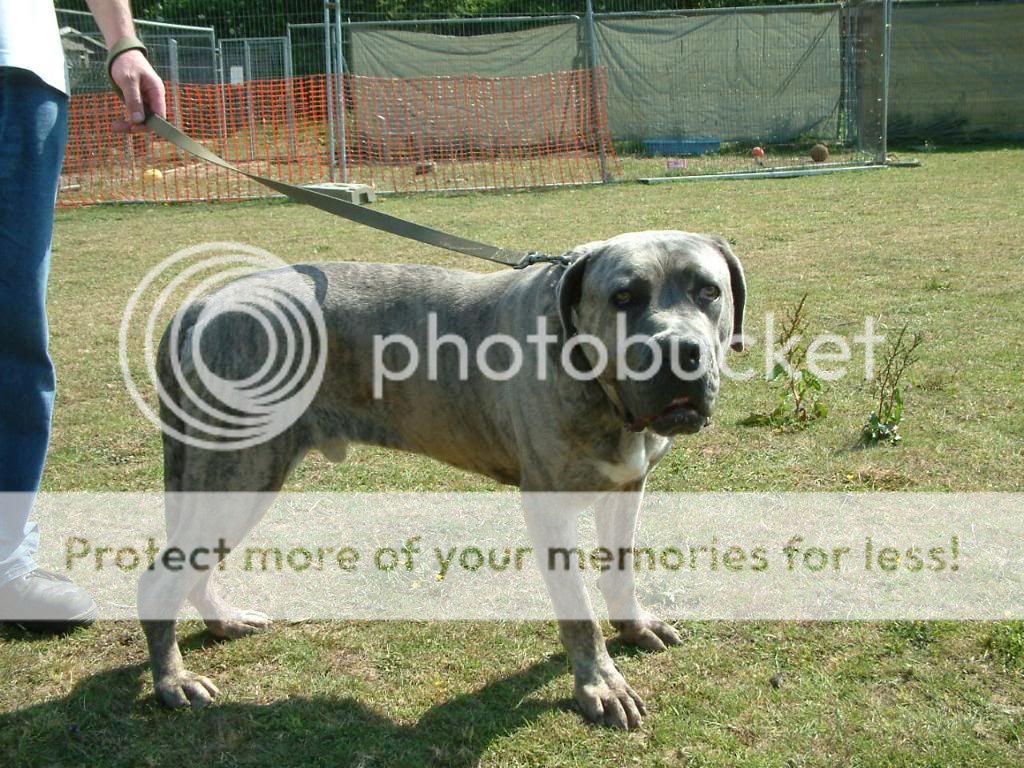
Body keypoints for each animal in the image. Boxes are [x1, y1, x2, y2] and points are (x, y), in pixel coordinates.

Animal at [138, 230, 745, 733]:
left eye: (708, 291)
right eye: (623, 297)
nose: (680, 351)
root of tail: (200, 305)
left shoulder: (626, 488)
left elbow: (619, 573)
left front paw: (634, 626)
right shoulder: (548, 507)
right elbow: (578, 615)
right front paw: (601, 684)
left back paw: (222, 622)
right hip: (240, 472)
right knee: (160, 578)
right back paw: (174, 682)